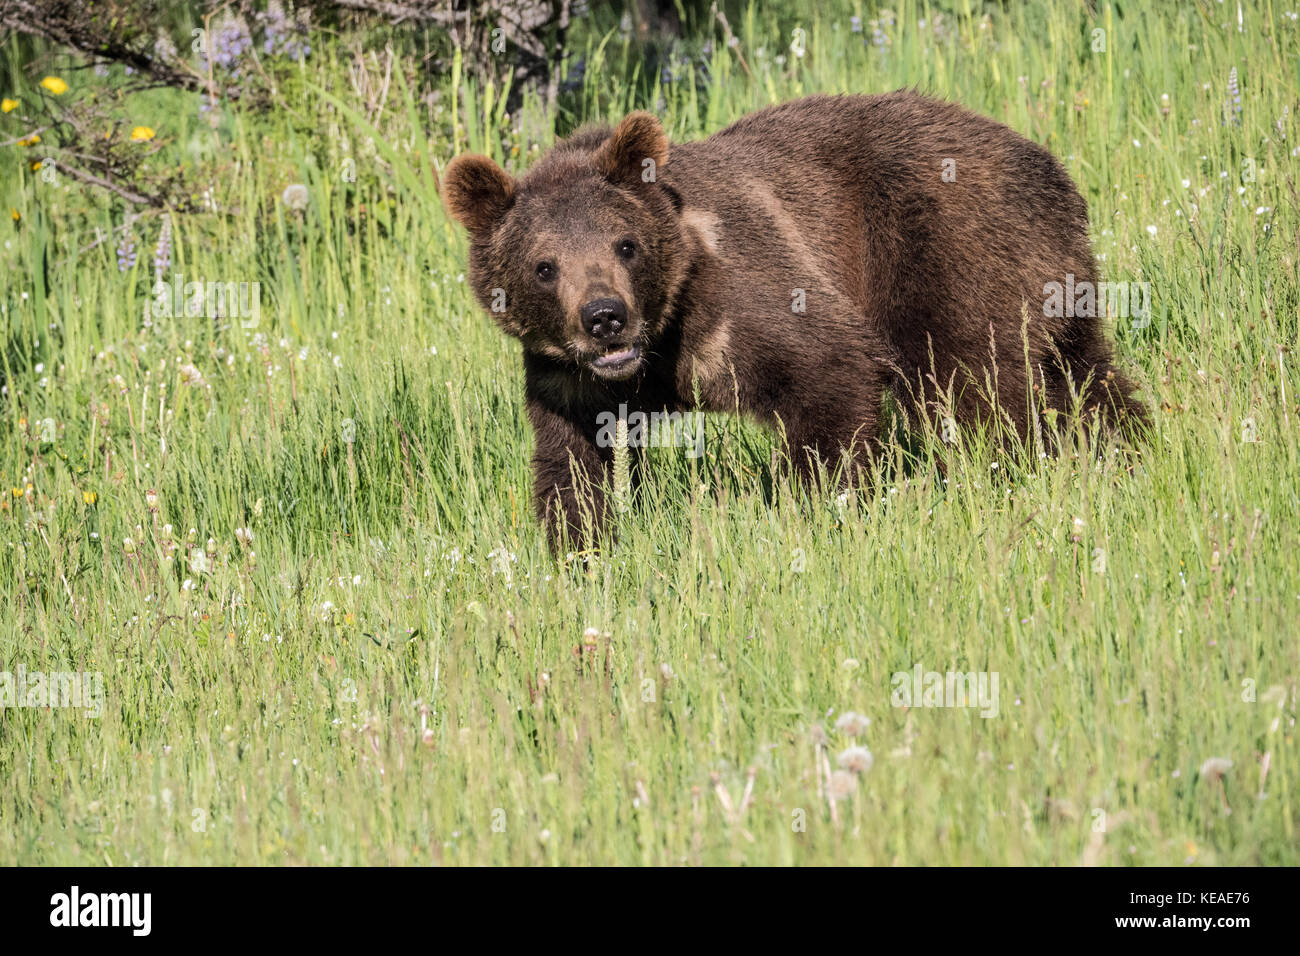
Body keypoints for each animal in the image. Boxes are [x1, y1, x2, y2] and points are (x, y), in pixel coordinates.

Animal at [444, 96, 1149, 548]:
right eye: (544, 266)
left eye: (625, 244)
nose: (604, 318)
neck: (661, 342)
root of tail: (1047, 166)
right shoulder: (565, 377)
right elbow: (570, 462)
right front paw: (580, 550)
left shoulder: (738, 292)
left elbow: (824, 374)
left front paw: (815, 506)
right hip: (1054, 284)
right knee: (1084, 376)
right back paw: (1125, 448)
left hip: (948, 252)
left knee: (975, 389)